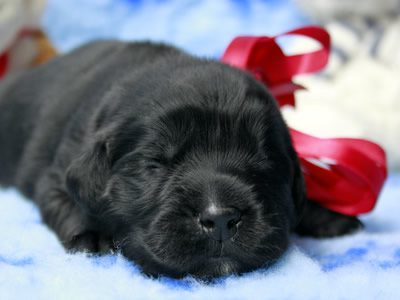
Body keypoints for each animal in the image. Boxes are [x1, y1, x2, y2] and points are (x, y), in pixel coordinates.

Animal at [0, 40, 362, 278]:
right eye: (157, 164)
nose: (220, 219)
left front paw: (328, 215)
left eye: (264, 159)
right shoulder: (59, 171)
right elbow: (62, 201)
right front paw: (93, 235)